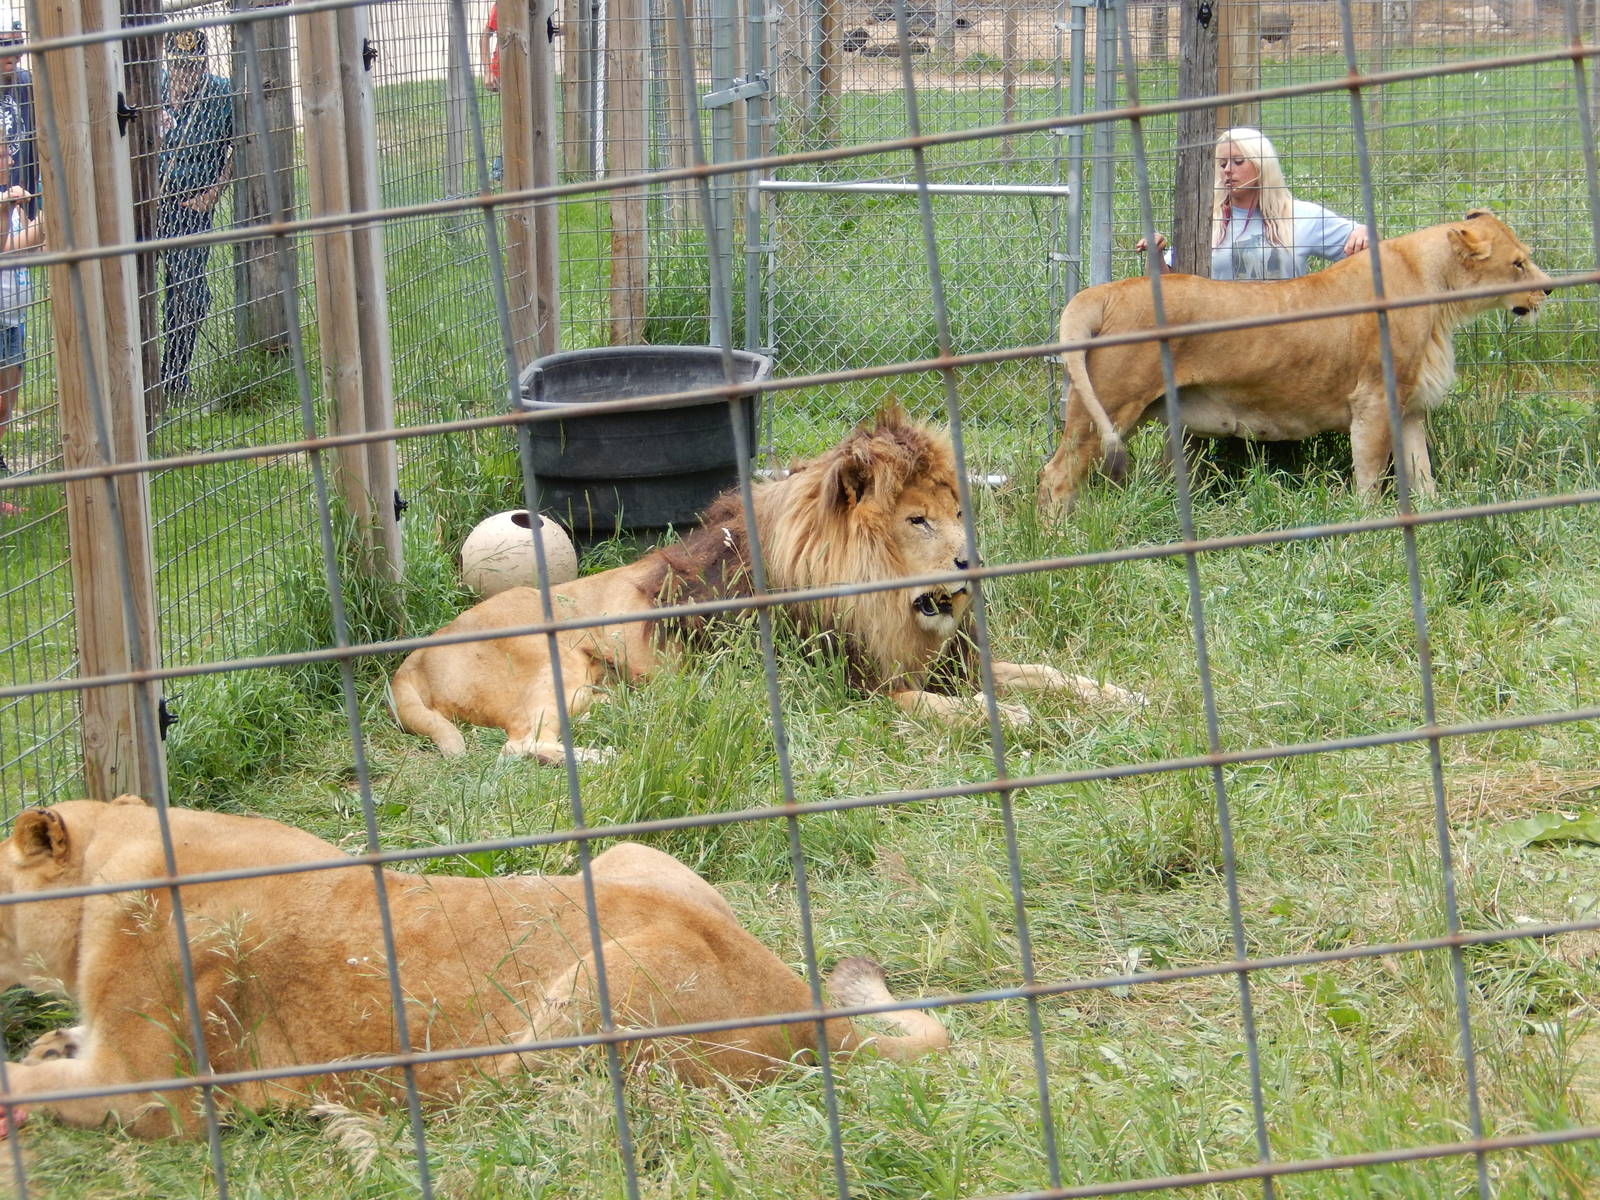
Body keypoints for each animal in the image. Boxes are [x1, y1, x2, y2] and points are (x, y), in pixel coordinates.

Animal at [0, 797, 947, 1138]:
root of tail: (793, 996)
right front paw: (51, 1043)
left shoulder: (148, 1091)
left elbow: (29, 1085)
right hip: (623, 857)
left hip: (585, 999)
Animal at [393, 407, 1139, 764]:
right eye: (917, 520)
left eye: (960, 512)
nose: (969, 564)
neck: (887, 602)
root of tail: (412, 655)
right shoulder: (852, 691)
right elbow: (947, 706)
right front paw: (1014, 717)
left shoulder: (952, 660)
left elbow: (1046, 673)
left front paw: (1119, 695)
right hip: (554, 666)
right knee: (518, 744)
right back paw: (607, 754)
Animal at [1036, 210, 1553, 512]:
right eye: (1518, 264)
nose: (1548, 289)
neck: (1441, 300)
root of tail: (1106, 291)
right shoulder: (1373, 400)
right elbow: (1370, 474)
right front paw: (1371, 528)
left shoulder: (1409, 407)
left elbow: (1421, 471)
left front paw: (1432, 517)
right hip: (1110, 403)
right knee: (1055, 475)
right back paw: (1063, 540)